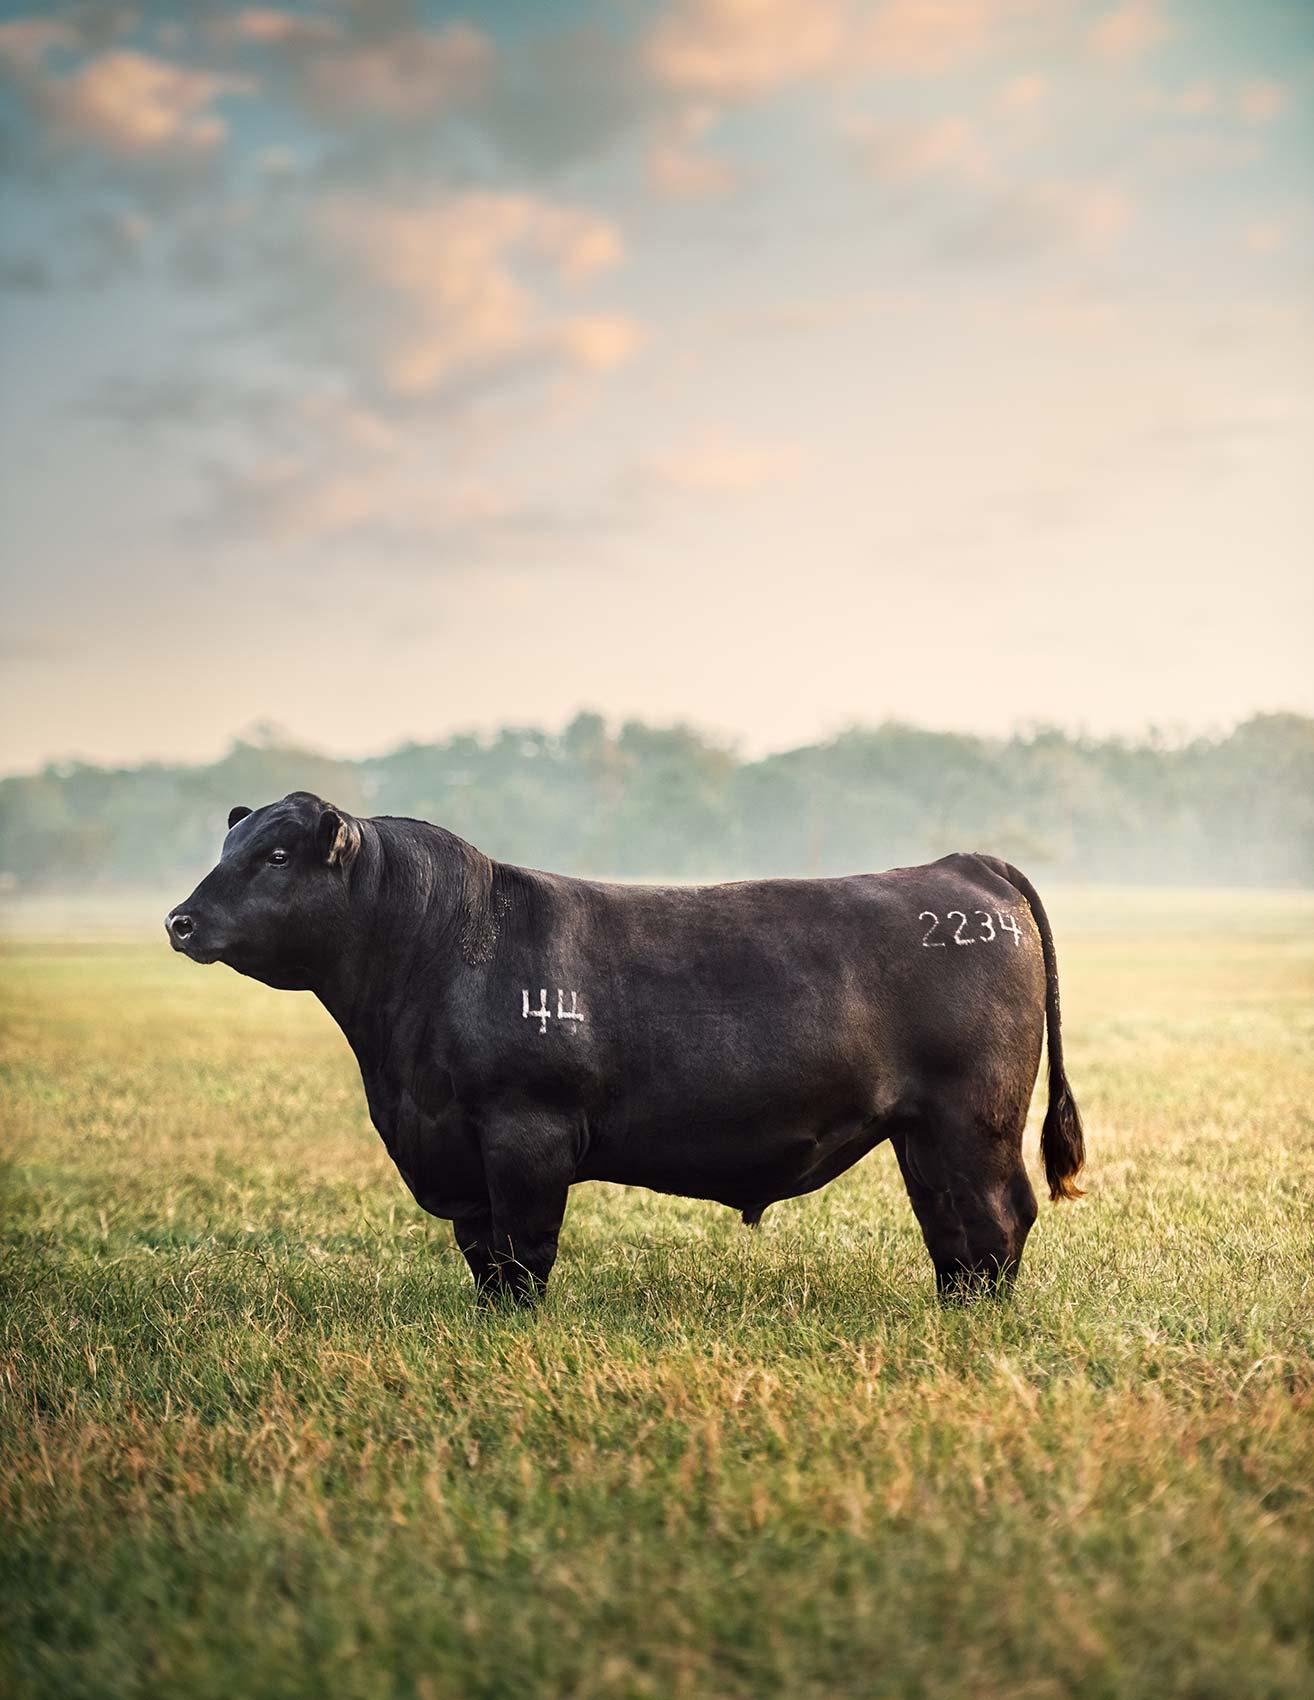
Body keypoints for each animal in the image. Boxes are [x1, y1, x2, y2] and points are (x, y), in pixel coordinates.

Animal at [166, 792, 1085, 1306]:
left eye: (276, 855)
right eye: (229, 847)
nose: (180, 920)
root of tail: (961, 866)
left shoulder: (524, 1133)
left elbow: (522, 1250)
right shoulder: (452, 1147)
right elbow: (481, 1252)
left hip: (976, 1115)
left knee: (999, 1215)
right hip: (922, 1130)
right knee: (949, 1223)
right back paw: (955, 1310)